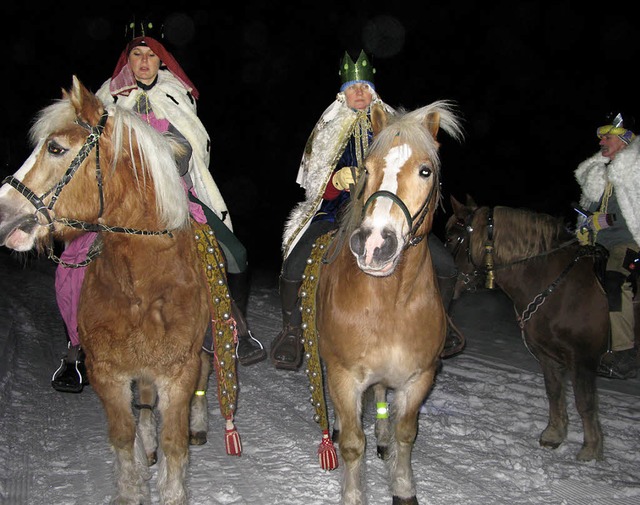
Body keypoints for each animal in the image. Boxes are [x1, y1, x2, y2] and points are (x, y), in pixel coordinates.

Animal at [0, 77, 239, 502]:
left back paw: (198, 426)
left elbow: (175, 441)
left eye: (55, 148)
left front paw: (172, 489)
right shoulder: (107, 372)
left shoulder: (179, 371)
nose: (3, 213)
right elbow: (123, 436)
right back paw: (148, 444)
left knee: (205, 374)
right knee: (142, 400)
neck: (140, 283)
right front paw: (133, 486)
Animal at [304, 102, 460, 504]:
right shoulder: (344, 377)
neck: (391, 304)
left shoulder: (418, 378)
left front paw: (402, 486)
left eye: (425, 170)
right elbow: (352, 445)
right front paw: (354, 494)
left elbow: (406, 434)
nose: (374, 244)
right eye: (367, 170)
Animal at [442, 194, 608, 460]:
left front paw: (591, 449)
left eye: (450, 237)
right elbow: (554, 391)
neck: (561, 289)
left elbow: (585, 402)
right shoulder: (548, 355)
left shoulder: (582, 359)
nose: (451, 283)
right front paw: (554, 434)